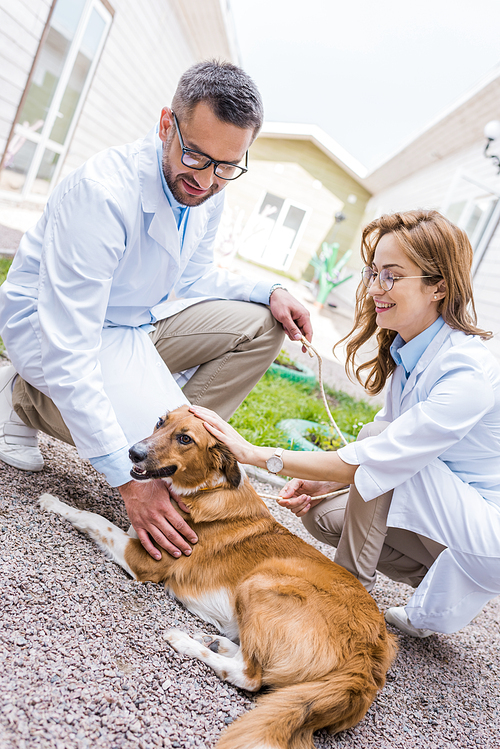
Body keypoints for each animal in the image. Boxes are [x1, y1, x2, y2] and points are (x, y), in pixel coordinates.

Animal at [40, 406, 398, 748]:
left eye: (185, 439)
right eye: (160, 422)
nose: (132, 452)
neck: (206, 490)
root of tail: (370, 656)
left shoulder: (145, 560)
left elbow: (94, 519)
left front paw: (55, 503)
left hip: (260, 583)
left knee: (250, 676)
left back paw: (185, 641)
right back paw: (216, 641)